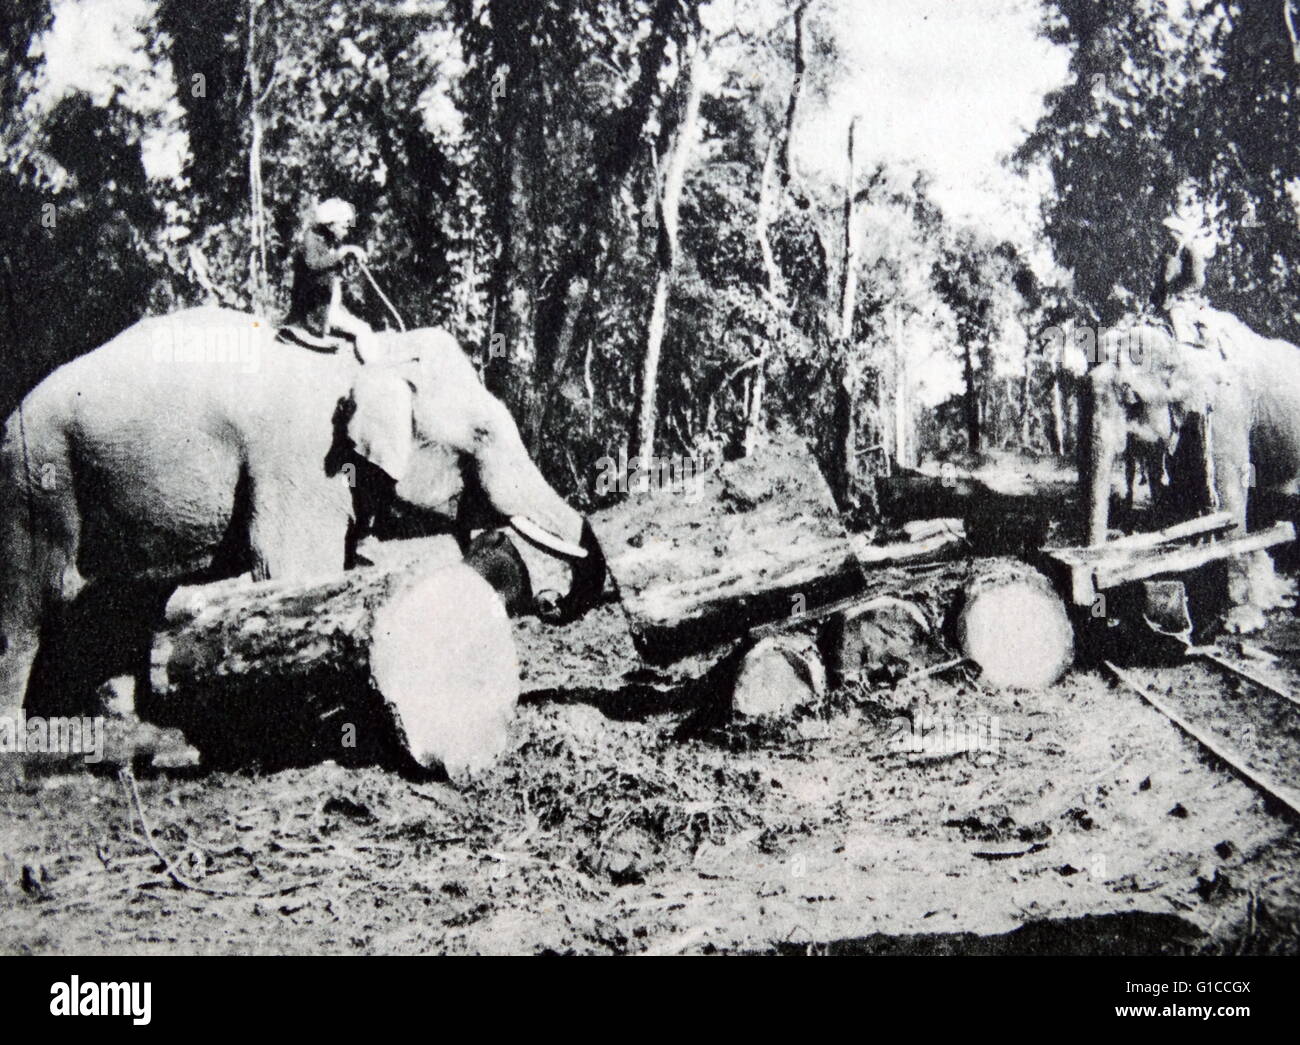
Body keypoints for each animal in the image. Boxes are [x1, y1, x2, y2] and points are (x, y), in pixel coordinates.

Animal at [0, 306, 605, 722]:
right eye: (481, 434)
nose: (549, 602)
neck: (369, 358)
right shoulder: (301, 459)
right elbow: (294, 568)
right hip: (32, 489)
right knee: (24, 611)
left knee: (126, 601)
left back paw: (125, 714)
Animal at [1081, 301, 1300, 629]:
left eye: (1133, 401)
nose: (1094, 591)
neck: (1178, 342)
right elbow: (1179, 493)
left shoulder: (1227, 411)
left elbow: (1228, 494)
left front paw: (1239, 622)